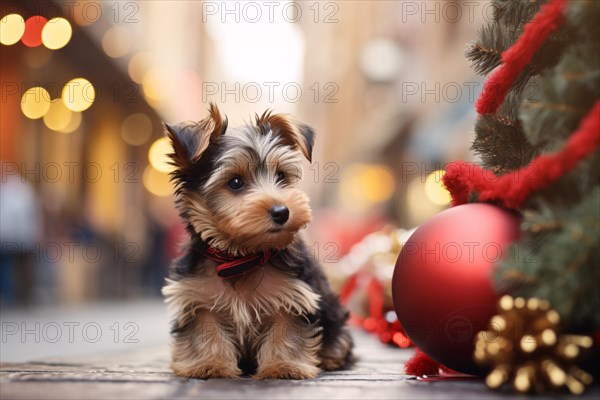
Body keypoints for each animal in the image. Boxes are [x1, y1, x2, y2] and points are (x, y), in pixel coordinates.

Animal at [162, 103, 354, 378]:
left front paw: (284, 366)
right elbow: (206, 330)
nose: (282, 211)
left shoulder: (294, 297)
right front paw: (209, 364)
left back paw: (330, 357)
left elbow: (287, 332)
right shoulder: (198, 298)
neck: (241, 256)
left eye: (281, 176)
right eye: (235, 182)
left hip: (334, 312)